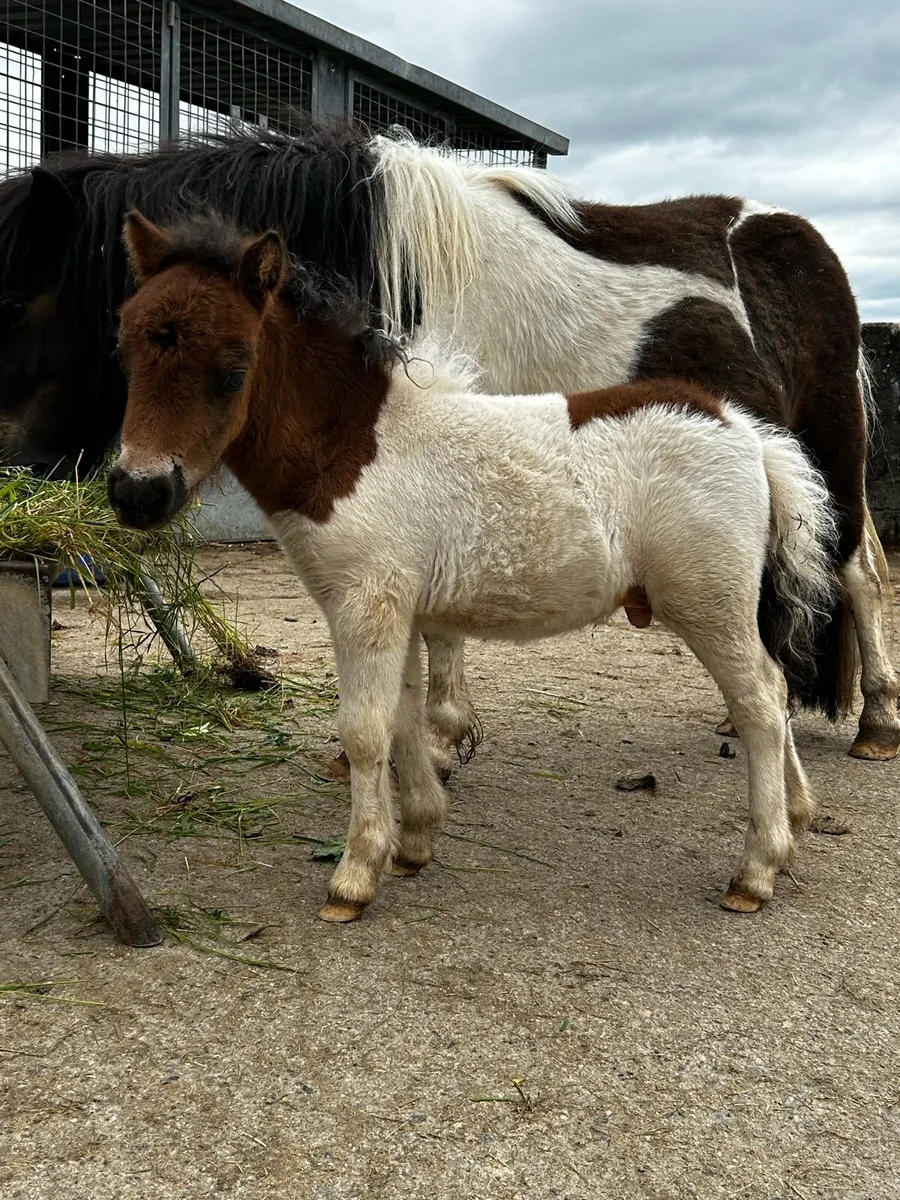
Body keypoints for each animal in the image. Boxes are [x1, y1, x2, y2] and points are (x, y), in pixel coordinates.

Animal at [0, 122, 895, 760]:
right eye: (126, 336)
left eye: (15, 306)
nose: (132, 490)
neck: (387, 270)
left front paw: (439, 733)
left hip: (830, 450)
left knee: (855, 570)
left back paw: (876, 721)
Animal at [109, 210, 839, 922]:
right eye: (127, 349)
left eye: (233, 367)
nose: (137, 492)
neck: (355, 447)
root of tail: (748, 436)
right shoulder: (398, 610)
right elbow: (404, 720)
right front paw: (415, 841)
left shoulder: (364, 606)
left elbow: (365, 731)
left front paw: (354, 877)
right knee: (774, 688)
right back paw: (798, 821)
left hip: (708, 603)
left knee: (759, 703)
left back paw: (757, 869)